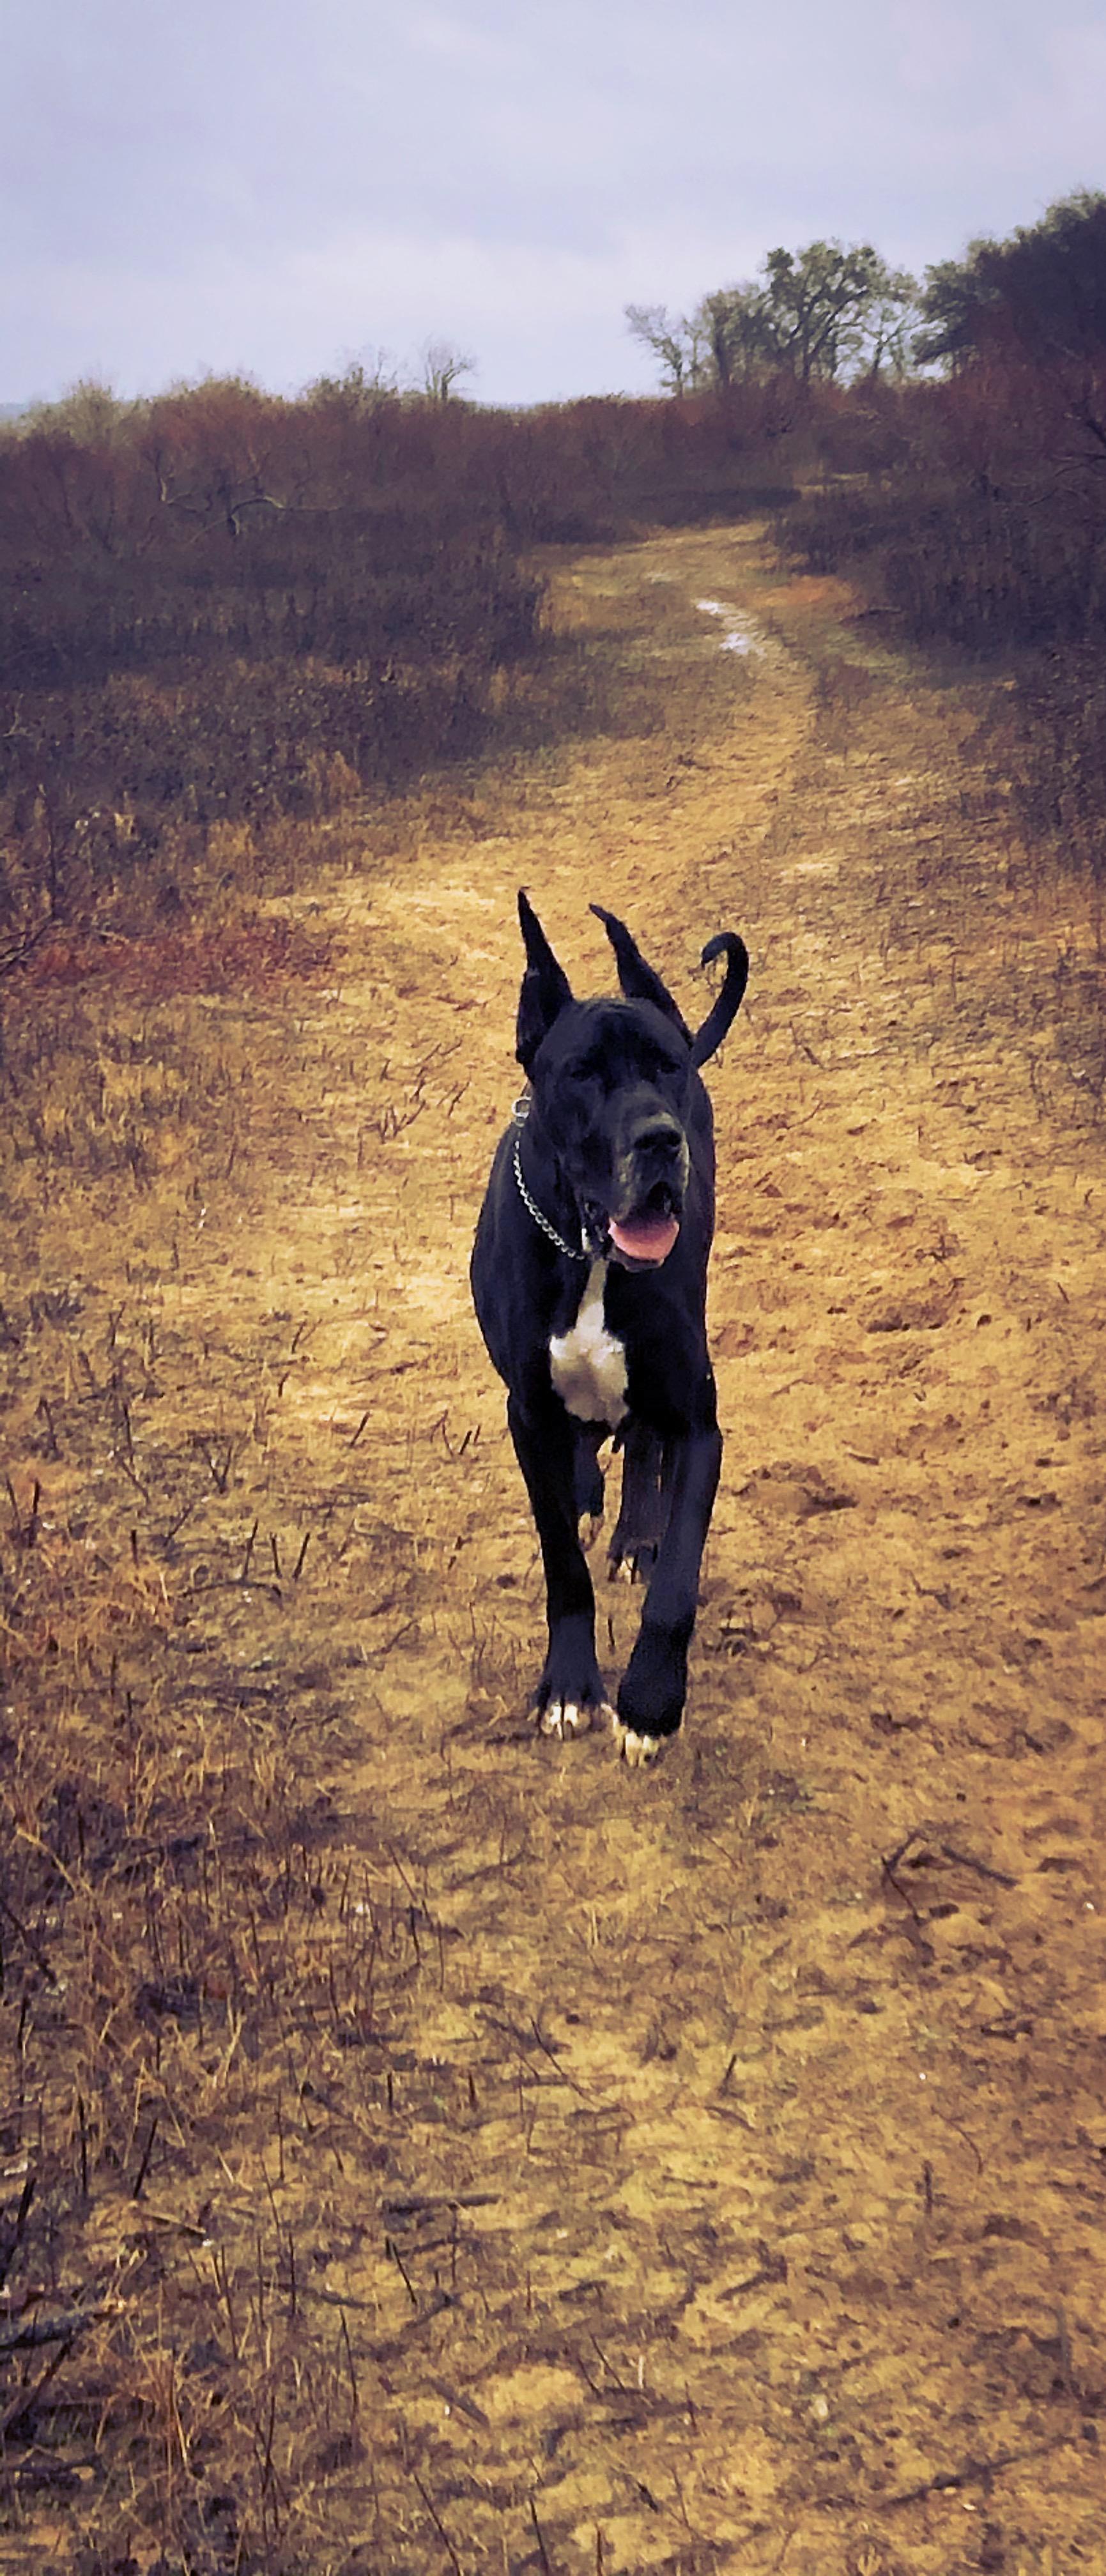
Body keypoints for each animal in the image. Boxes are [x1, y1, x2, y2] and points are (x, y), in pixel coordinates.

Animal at [471, 893, 748, 1764]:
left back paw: (631, 1530)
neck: (588, 1254)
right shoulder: (526, 1415)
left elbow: (677, 1582)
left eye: (668, 1067)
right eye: (582, 1075)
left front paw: (650, 1704)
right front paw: (568, 1686)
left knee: (642, 1443)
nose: (660, 1139)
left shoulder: (698, 1421)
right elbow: (562, 1558)